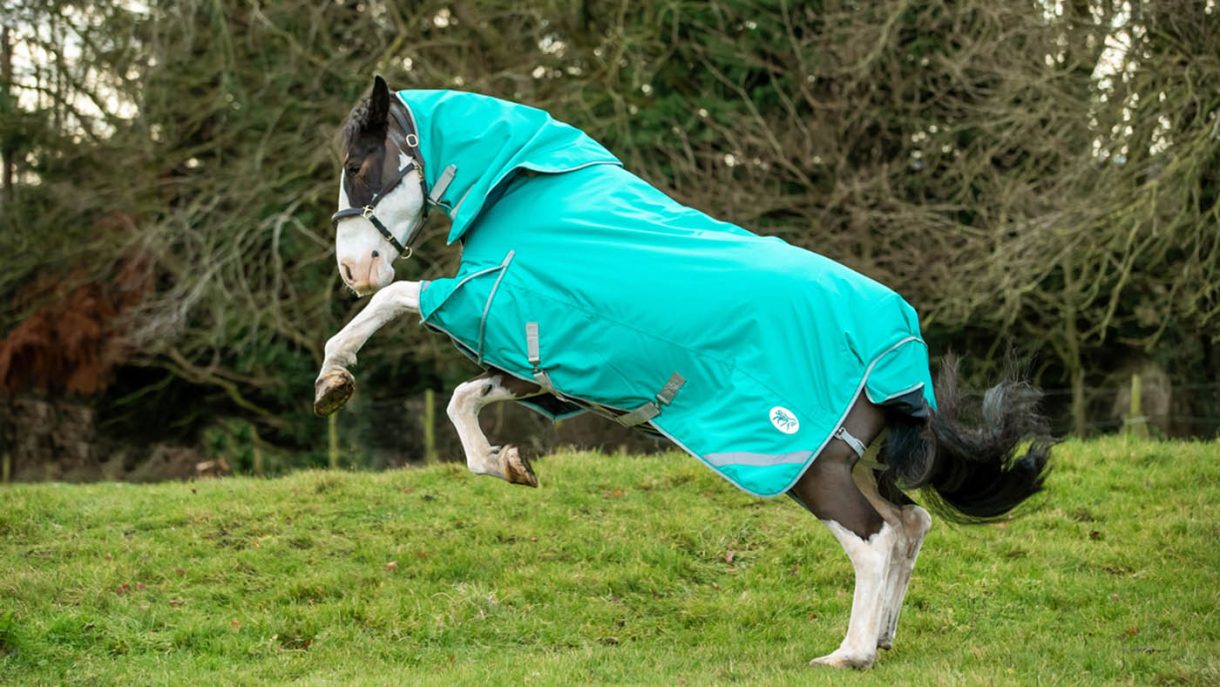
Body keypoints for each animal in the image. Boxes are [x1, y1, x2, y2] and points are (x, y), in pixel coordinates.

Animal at [313, 76, 1052, 670]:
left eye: (356, 164)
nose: (351, 269)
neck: (521, 190)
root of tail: (899, 339)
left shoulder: (488, 302)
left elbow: (398, 299)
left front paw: (333, 378)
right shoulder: (536, 359)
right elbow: (463, 401)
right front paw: (508, 463)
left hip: (809, 465)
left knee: (874, 540)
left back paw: (849, 653)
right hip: (859, 459)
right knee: (910, 526)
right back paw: (885, 638)